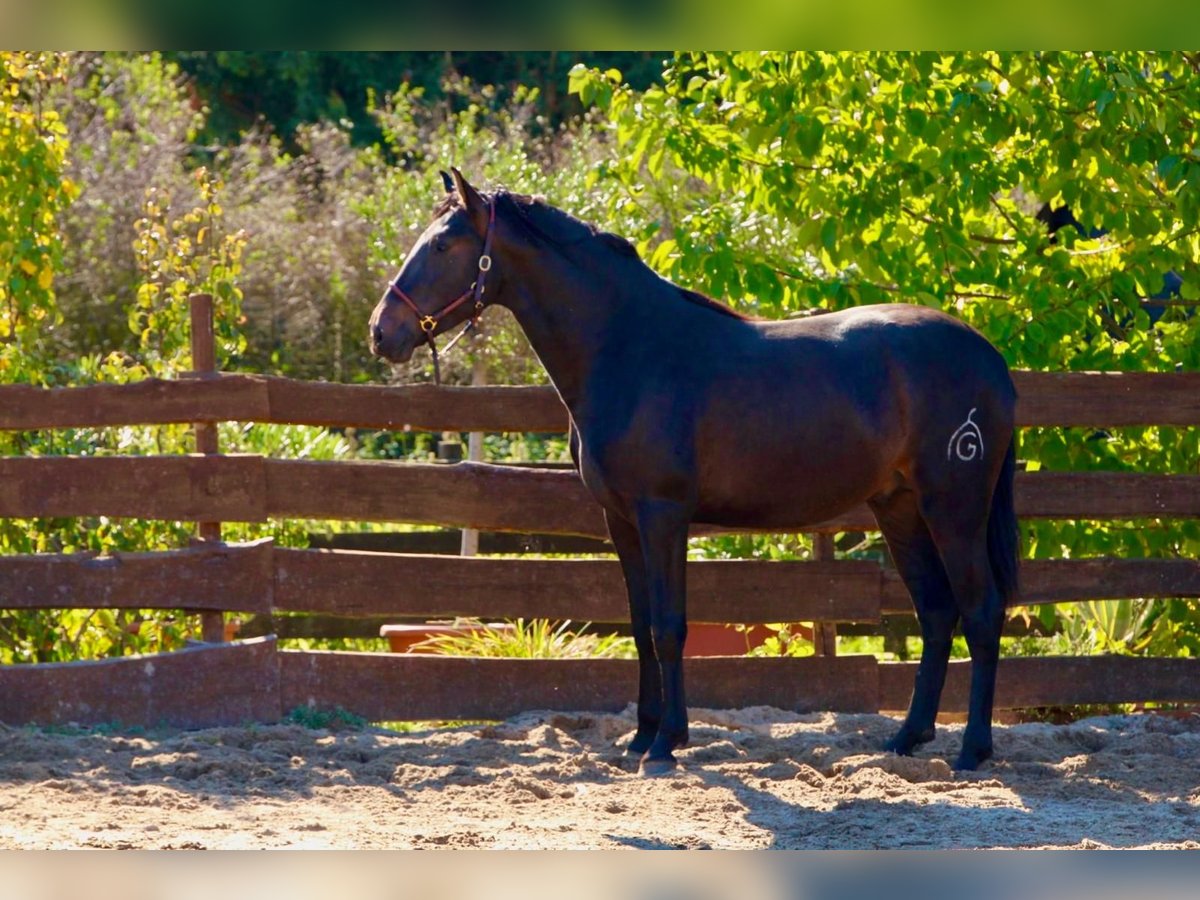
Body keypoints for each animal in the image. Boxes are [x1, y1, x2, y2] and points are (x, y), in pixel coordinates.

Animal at [369, 168, 1020, 773]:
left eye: (443, 245)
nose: (382, 332)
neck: (630, 350)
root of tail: (989, 358)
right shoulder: (621, 521)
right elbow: (638, 626)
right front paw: (639, 738)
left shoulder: (663, 514)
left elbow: (668, 626)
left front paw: (666, 744)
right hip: (900, 508)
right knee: (936, 612)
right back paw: (907, 739)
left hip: (953, 507)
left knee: (981, 611)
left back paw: (972, 750)